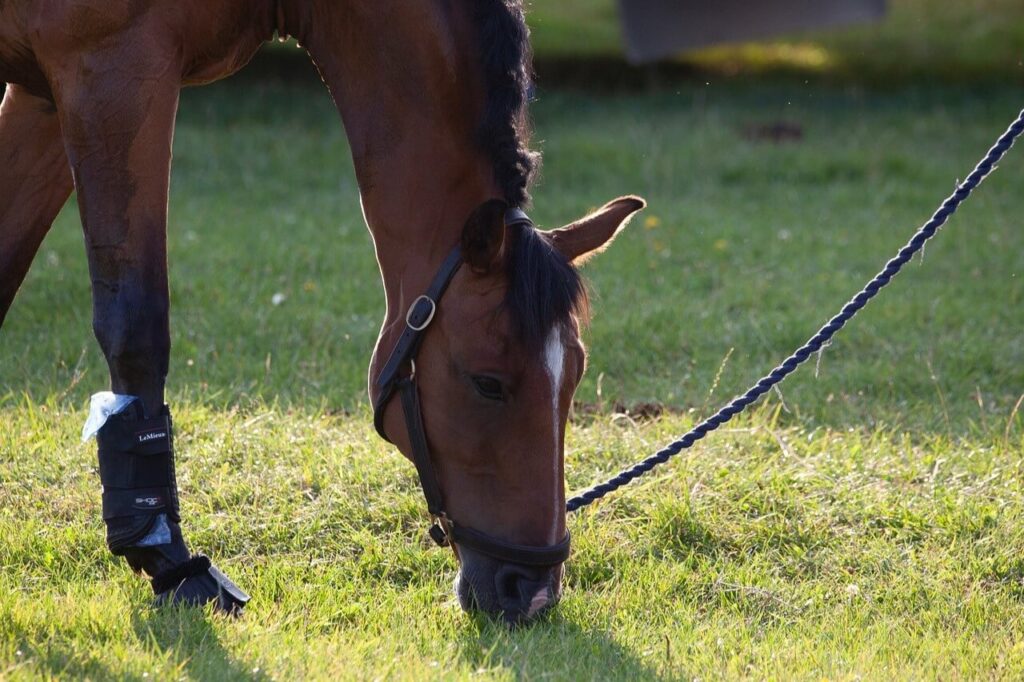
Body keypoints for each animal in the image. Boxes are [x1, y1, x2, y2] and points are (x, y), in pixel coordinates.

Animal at [0, 0, 645, 625]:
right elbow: (136, 320)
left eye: (576, 376)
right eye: (489, 382)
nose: (531, 593)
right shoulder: (108, 73)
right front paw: (168, 561)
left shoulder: (46, 91)